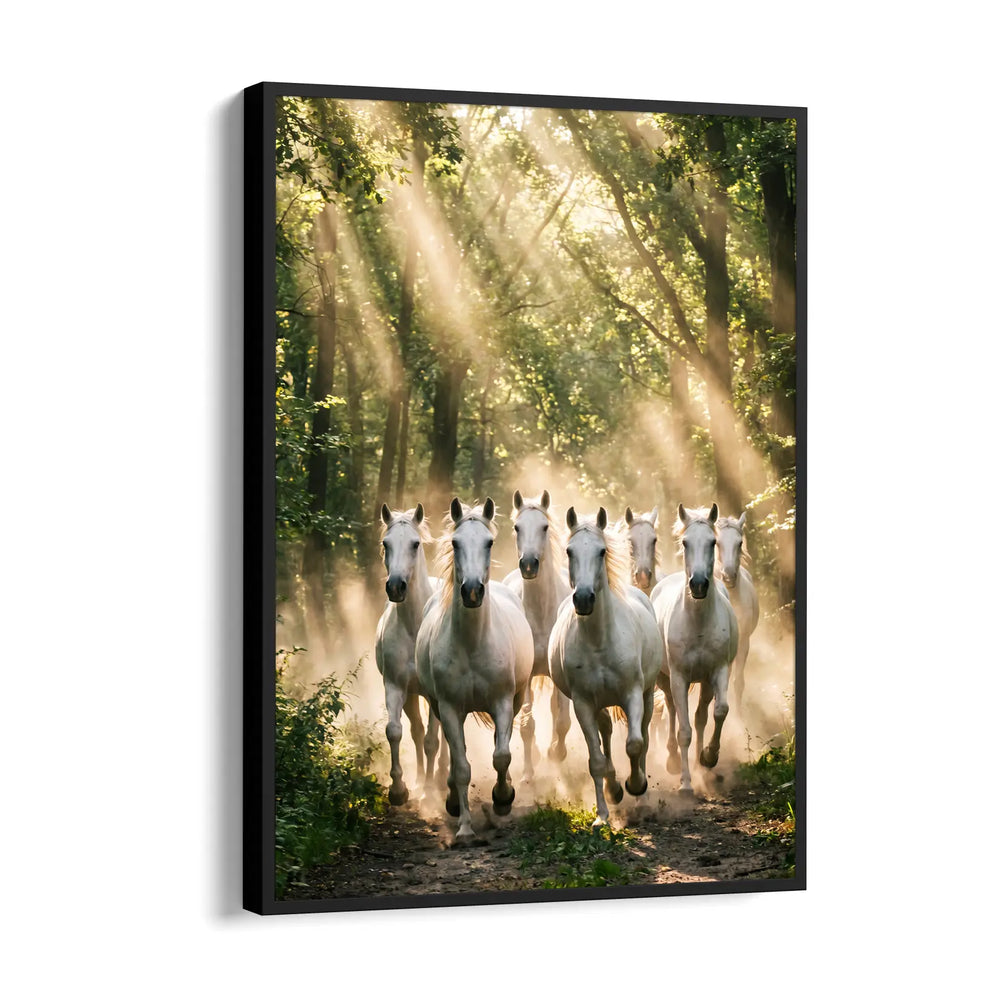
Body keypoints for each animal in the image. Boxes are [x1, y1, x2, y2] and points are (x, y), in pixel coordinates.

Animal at [415, 498, 534, 844]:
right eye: (455, 543)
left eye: (489, 542)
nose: (471, 591)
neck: (471, 643)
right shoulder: (450, 707)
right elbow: (462, 767)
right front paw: (465, 827)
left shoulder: (503, 702)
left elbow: (501, 755)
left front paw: (503, 799)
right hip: (442, 708)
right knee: (454, 753)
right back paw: (453, 801)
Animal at [501, 489, 573, 772]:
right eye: (517, 527)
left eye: (544, 527)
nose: (529, 565)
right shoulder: (528, 675)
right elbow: (527, 726)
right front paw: (528, 774)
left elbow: (562, 720)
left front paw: (557, 753)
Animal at [548, 507, 663, 827]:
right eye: (569, 551)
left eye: (601, 551)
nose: (584, 598)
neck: (599, 640)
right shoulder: (583, 704)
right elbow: (597, 761)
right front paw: (602, 815)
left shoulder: (632, 694)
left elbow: (635, 744)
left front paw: (636, 785)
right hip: (600, 705)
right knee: (606, 733)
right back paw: (614, 789)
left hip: (647, 695)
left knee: (643, 735)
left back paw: (640, 793)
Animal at [652, 503, 738, 796]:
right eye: (685, 542)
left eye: (713, 542)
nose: (698, 584)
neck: (698, 623)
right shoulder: (679, 677)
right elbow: (684, 731)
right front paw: (686, 784)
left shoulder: (718, 671)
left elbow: (720, 711)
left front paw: (709, 757)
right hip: (665, 678)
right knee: (672, 710)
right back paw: (672, 760)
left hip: (705, 682)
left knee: (701, 716)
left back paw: (703, 766)